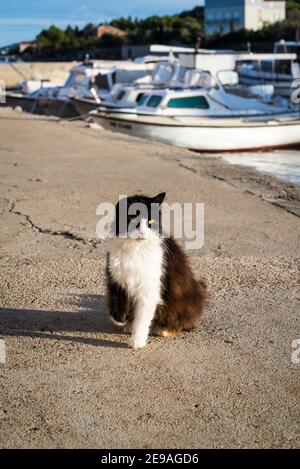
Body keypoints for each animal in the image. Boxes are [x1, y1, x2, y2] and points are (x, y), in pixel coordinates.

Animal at [105, 192, 206, 350]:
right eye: (132, 219)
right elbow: (117, 301)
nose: (142, 232)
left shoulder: (149, 288)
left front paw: (137, 341)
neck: (135, 248)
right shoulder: (116, 277)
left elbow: (142, 319)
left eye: (151, 220)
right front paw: (120, 319)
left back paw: (166, 330)